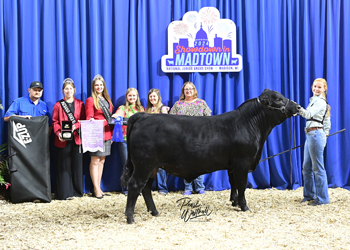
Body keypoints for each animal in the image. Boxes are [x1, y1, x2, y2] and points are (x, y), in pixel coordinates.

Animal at [120, 89, 300, 224]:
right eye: (278, 99)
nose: (298, 106)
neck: (250, 125)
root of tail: (143, 116)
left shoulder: (232, 166)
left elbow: (233, 184)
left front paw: (234, 202)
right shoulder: (242, 163)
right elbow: (242, 185)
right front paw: (244, 206)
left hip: (152, 167)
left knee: (146, 188)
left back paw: (154, 211)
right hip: (144, 164)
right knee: (136, 185)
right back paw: (130, 218)